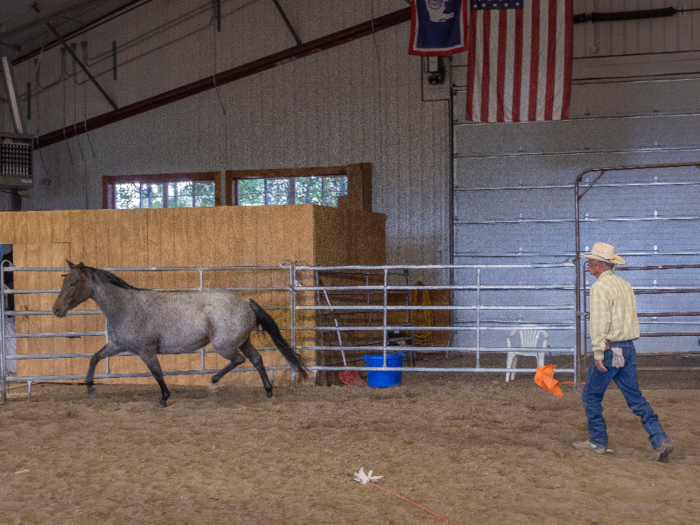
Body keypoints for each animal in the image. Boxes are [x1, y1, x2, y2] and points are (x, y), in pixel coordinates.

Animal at [52, 260, 306, 406]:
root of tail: (246, 301)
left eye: (73, 283)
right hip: (243, 341)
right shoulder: (117, 345)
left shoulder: (146, 350)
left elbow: (157, 373)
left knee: (240, 360)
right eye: (65, 281)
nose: (56, 310)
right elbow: (94, 358)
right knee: (256, 359)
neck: (126, 307)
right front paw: (89, 388)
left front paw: (164, 398)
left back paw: (213, 381)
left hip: (225, 345)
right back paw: (269, 392)